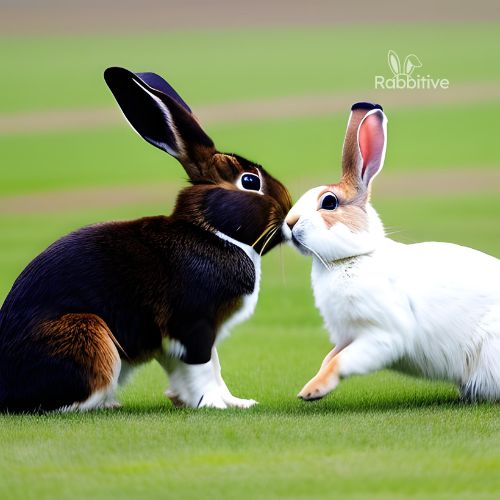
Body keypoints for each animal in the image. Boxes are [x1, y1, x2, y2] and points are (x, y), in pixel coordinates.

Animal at [286, 102, 500, 402]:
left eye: (329, 202)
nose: (289, 223)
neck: (354, 257)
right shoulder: (348, 336)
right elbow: (329, 358)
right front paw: (311, 386)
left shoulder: (381, 335)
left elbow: (340, 362)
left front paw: (312, 391)